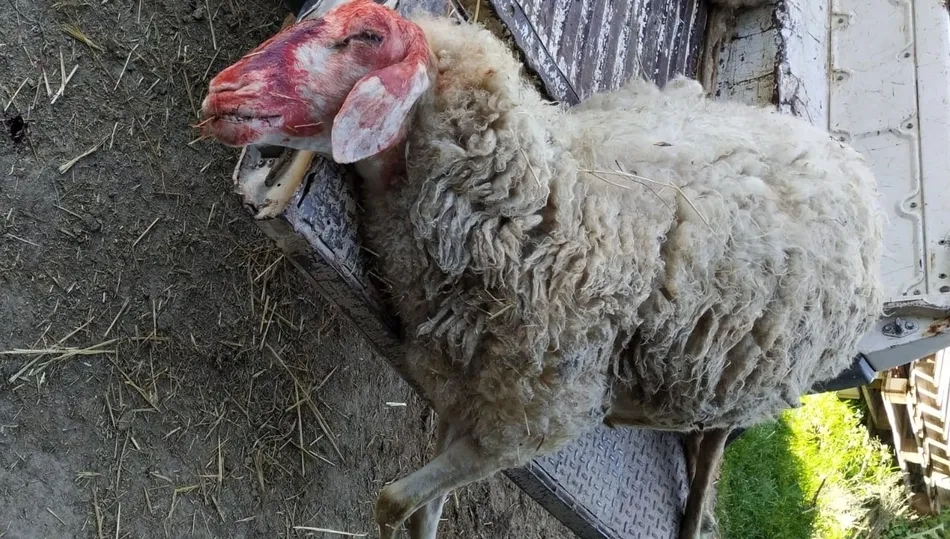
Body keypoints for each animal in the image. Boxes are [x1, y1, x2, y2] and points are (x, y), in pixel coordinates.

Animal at [198, 1, 885, 537]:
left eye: (363, 37)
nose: (220, 93)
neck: (533, 203)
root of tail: (851, 167)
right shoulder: (465, 386)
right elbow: (417, 510)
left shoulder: (531, 423)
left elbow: (390, 501)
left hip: (747, 389)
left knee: (716, 437)